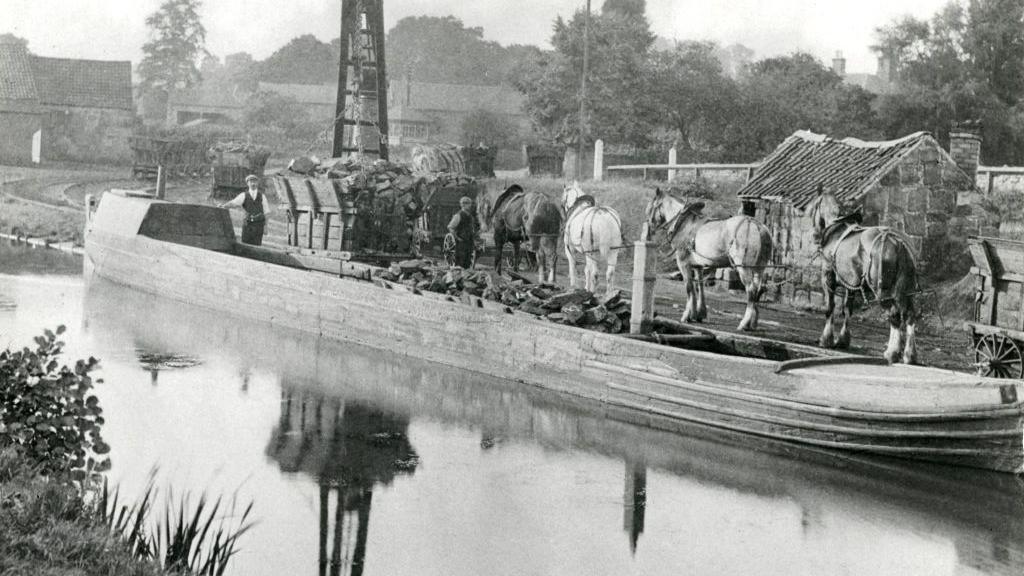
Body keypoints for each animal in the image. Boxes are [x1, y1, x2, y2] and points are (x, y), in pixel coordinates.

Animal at [806, 186, 921, 360]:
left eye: (814, 207)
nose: (814, 236)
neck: (837, 229)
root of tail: (898, 242)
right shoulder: (851, 284)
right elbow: (847, 309)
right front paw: (843, 340)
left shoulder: (828, 278)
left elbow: (830, 308)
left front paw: (826, 339)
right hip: (908, 290)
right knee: (909, 315)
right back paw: (909, 355)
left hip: (882, 291)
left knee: (894, 315)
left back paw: (892, 352)